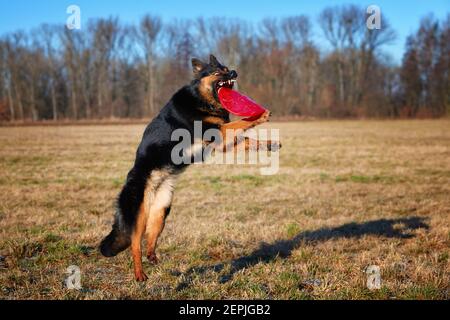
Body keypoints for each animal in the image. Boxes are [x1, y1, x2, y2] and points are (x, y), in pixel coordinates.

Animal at [100, 56, 280, 282]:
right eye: (218, 72)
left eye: (226, 68)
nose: (234, 72)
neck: (202, 100)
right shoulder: (217, 132)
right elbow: (241, 123)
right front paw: (261, 116)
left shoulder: (222, 142)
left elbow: (249, 139)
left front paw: (270, 144)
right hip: (139, 214)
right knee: (135, 244)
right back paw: (140, 273)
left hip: (162, 210)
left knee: (151, 237)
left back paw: (153, 256)